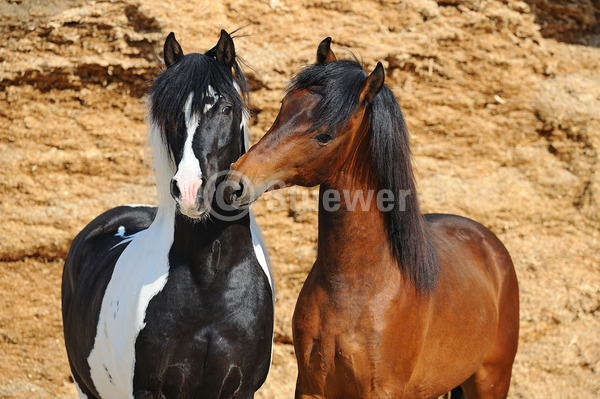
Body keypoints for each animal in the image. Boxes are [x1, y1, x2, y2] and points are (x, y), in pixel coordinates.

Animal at [223, 38, 516, 399]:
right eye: (284, 107)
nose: (235, 183)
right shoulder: (310, 387)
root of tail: (489, 244)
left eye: (325, 135)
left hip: (492, 380)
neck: (355, 286)